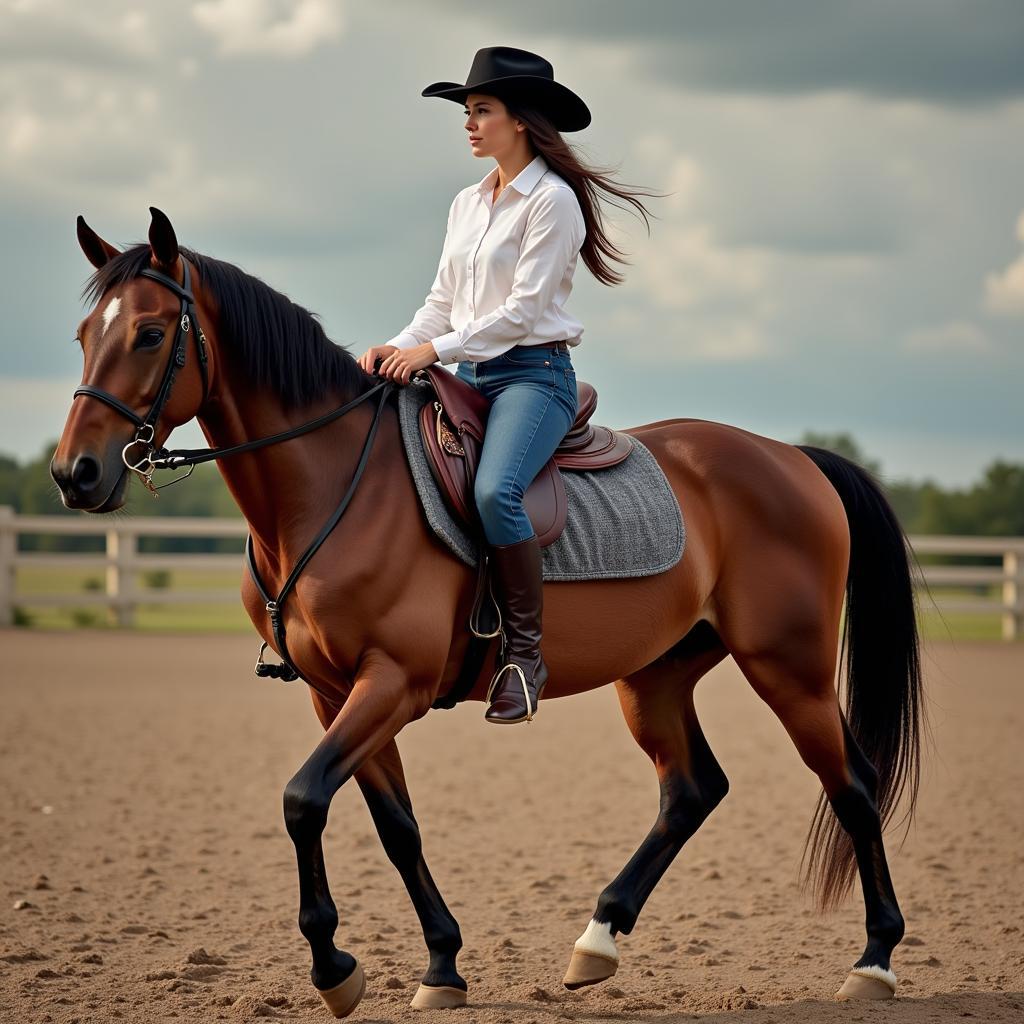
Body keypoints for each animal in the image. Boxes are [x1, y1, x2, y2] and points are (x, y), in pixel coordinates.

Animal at [51, 207, 925, 1015]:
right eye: (84, 334)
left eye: (150, 333)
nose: (74, 474)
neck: (334, 486)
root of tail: (791, 458)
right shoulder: (335, 694)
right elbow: (394, 825)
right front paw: (440, 965)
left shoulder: (390, 684)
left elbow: (303, 800)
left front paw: (335, 968)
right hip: (657, 676)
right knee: (691, 790)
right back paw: (597, 940)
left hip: (789, 669)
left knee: (852, 785)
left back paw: (874, 961)